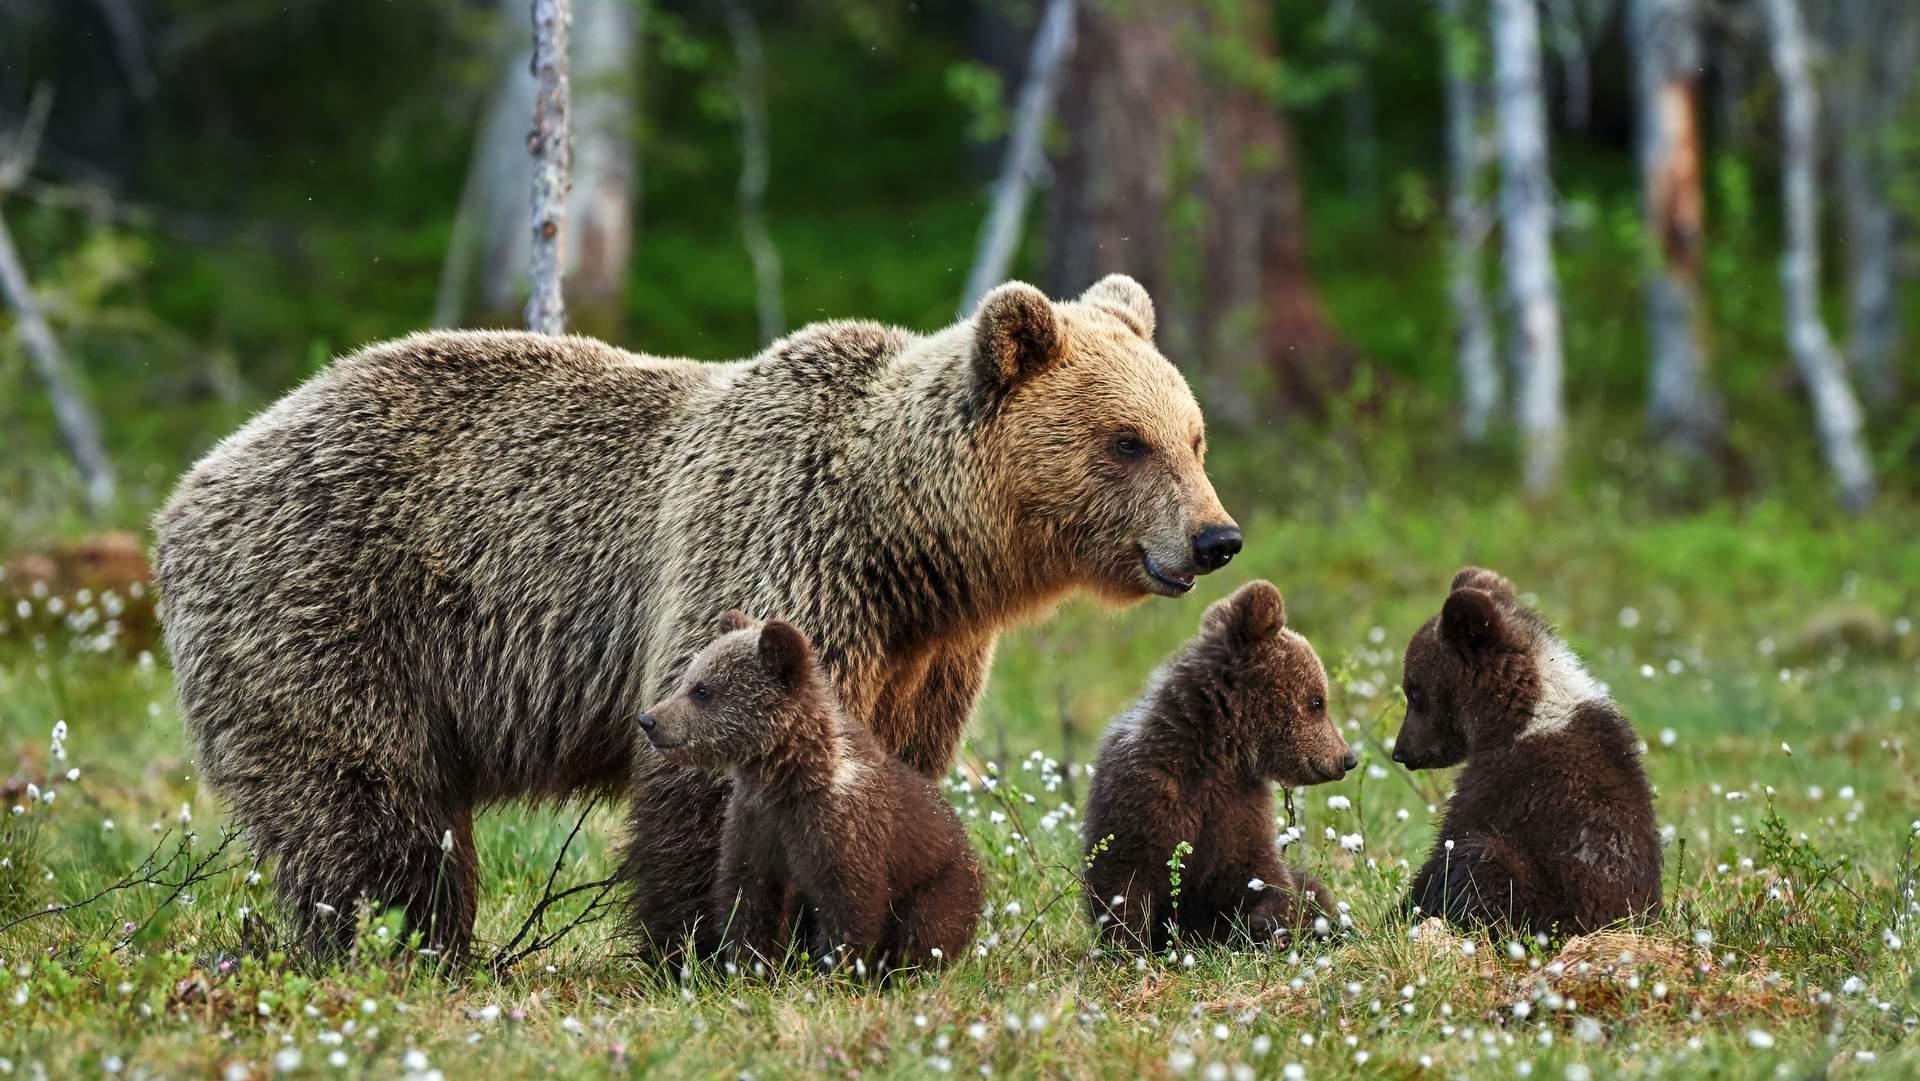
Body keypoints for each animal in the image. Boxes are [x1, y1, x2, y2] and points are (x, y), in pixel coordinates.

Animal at [641, 614, 983, 975]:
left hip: (941, 884)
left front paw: (833, 971)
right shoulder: (754, 822)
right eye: (688, 679)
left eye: (702, 690)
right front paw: (748, 967)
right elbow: (747, 897)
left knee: (925, 930)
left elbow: (849, 907)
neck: (787, 775)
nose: (648, 720)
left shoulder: (842, 829)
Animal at [1082, 579, 1351, 952]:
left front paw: (1271, 924)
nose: (1347, 758)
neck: (1215, 753)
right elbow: (1124, 880)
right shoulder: (1147, 793)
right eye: (1317, 701)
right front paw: (1127, 947)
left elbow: (1261, 873)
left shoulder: (1238, 806)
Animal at [1397, 568, 1666, 940]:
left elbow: (1450, 842)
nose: (1401, 751)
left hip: (1548, 903)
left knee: (1480, 858)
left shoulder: (1507, 784)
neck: (1519, 715)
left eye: (1415, 691)